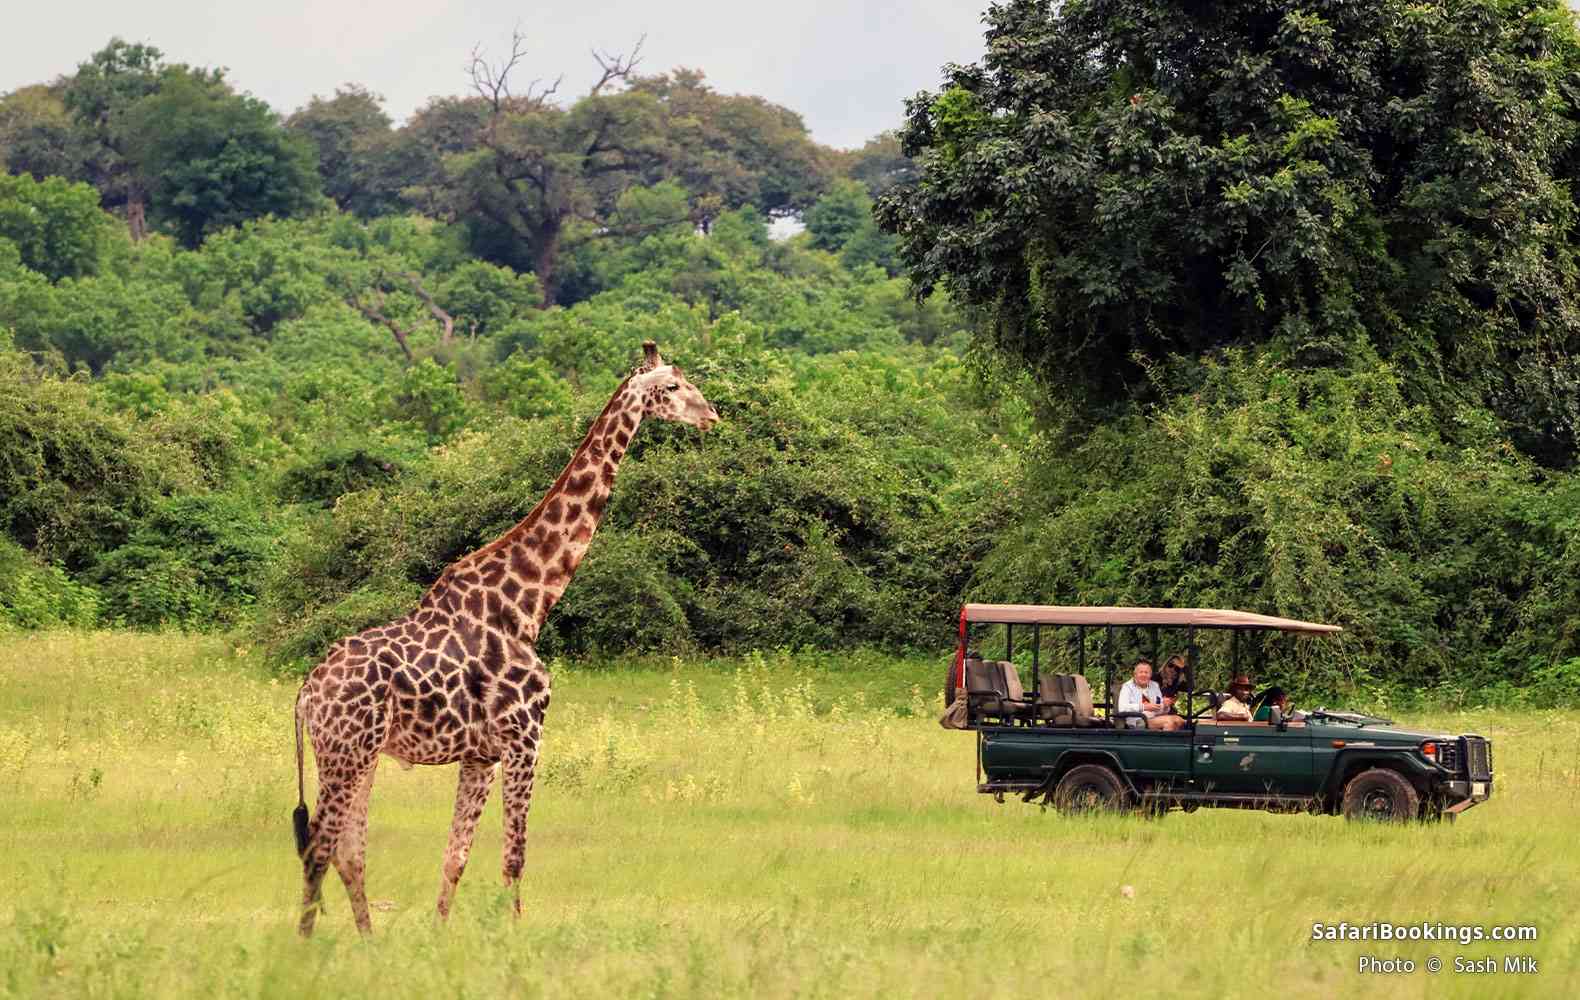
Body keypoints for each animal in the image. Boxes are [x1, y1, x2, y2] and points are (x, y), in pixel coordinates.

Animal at [291, 340, 718, 936]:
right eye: (674, 386)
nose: (712, 415)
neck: (528, 603)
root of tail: (306, 692)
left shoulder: (481, 755)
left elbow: (455, 855)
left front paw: (440, 935)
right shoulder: (525, 737)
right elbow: (514, 855)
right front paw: (514, 937)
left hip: (357, 754)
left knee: (349, 851)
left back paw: (368, 942)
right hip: (346, 752)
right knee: (320, 850)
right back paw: (309, 946)